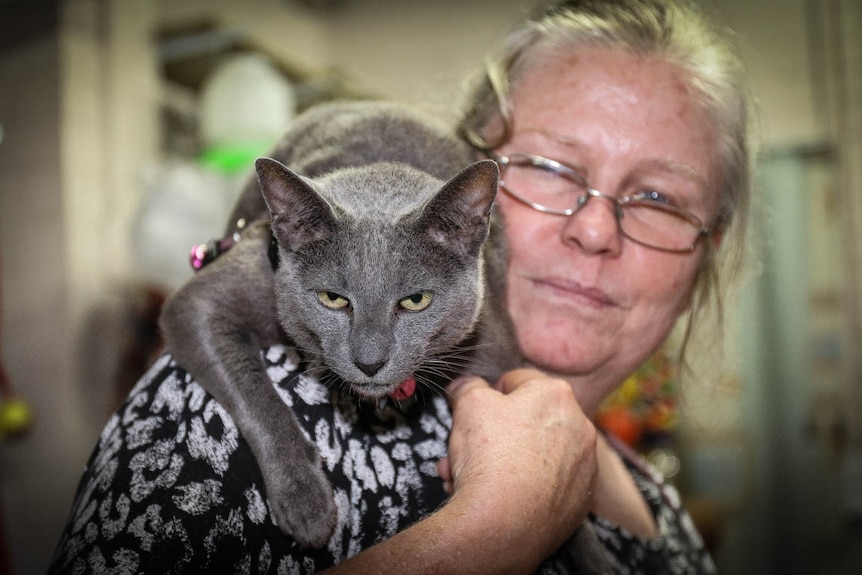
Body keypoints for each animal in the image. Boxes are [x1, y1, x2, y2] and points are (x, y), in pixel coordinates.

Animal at [161, 101, 520, 552]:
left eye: (416, 300)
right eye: (333, 299)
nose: (369, 362)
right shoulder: (205, 302)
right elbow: (256, 396)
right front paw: (306, 502)